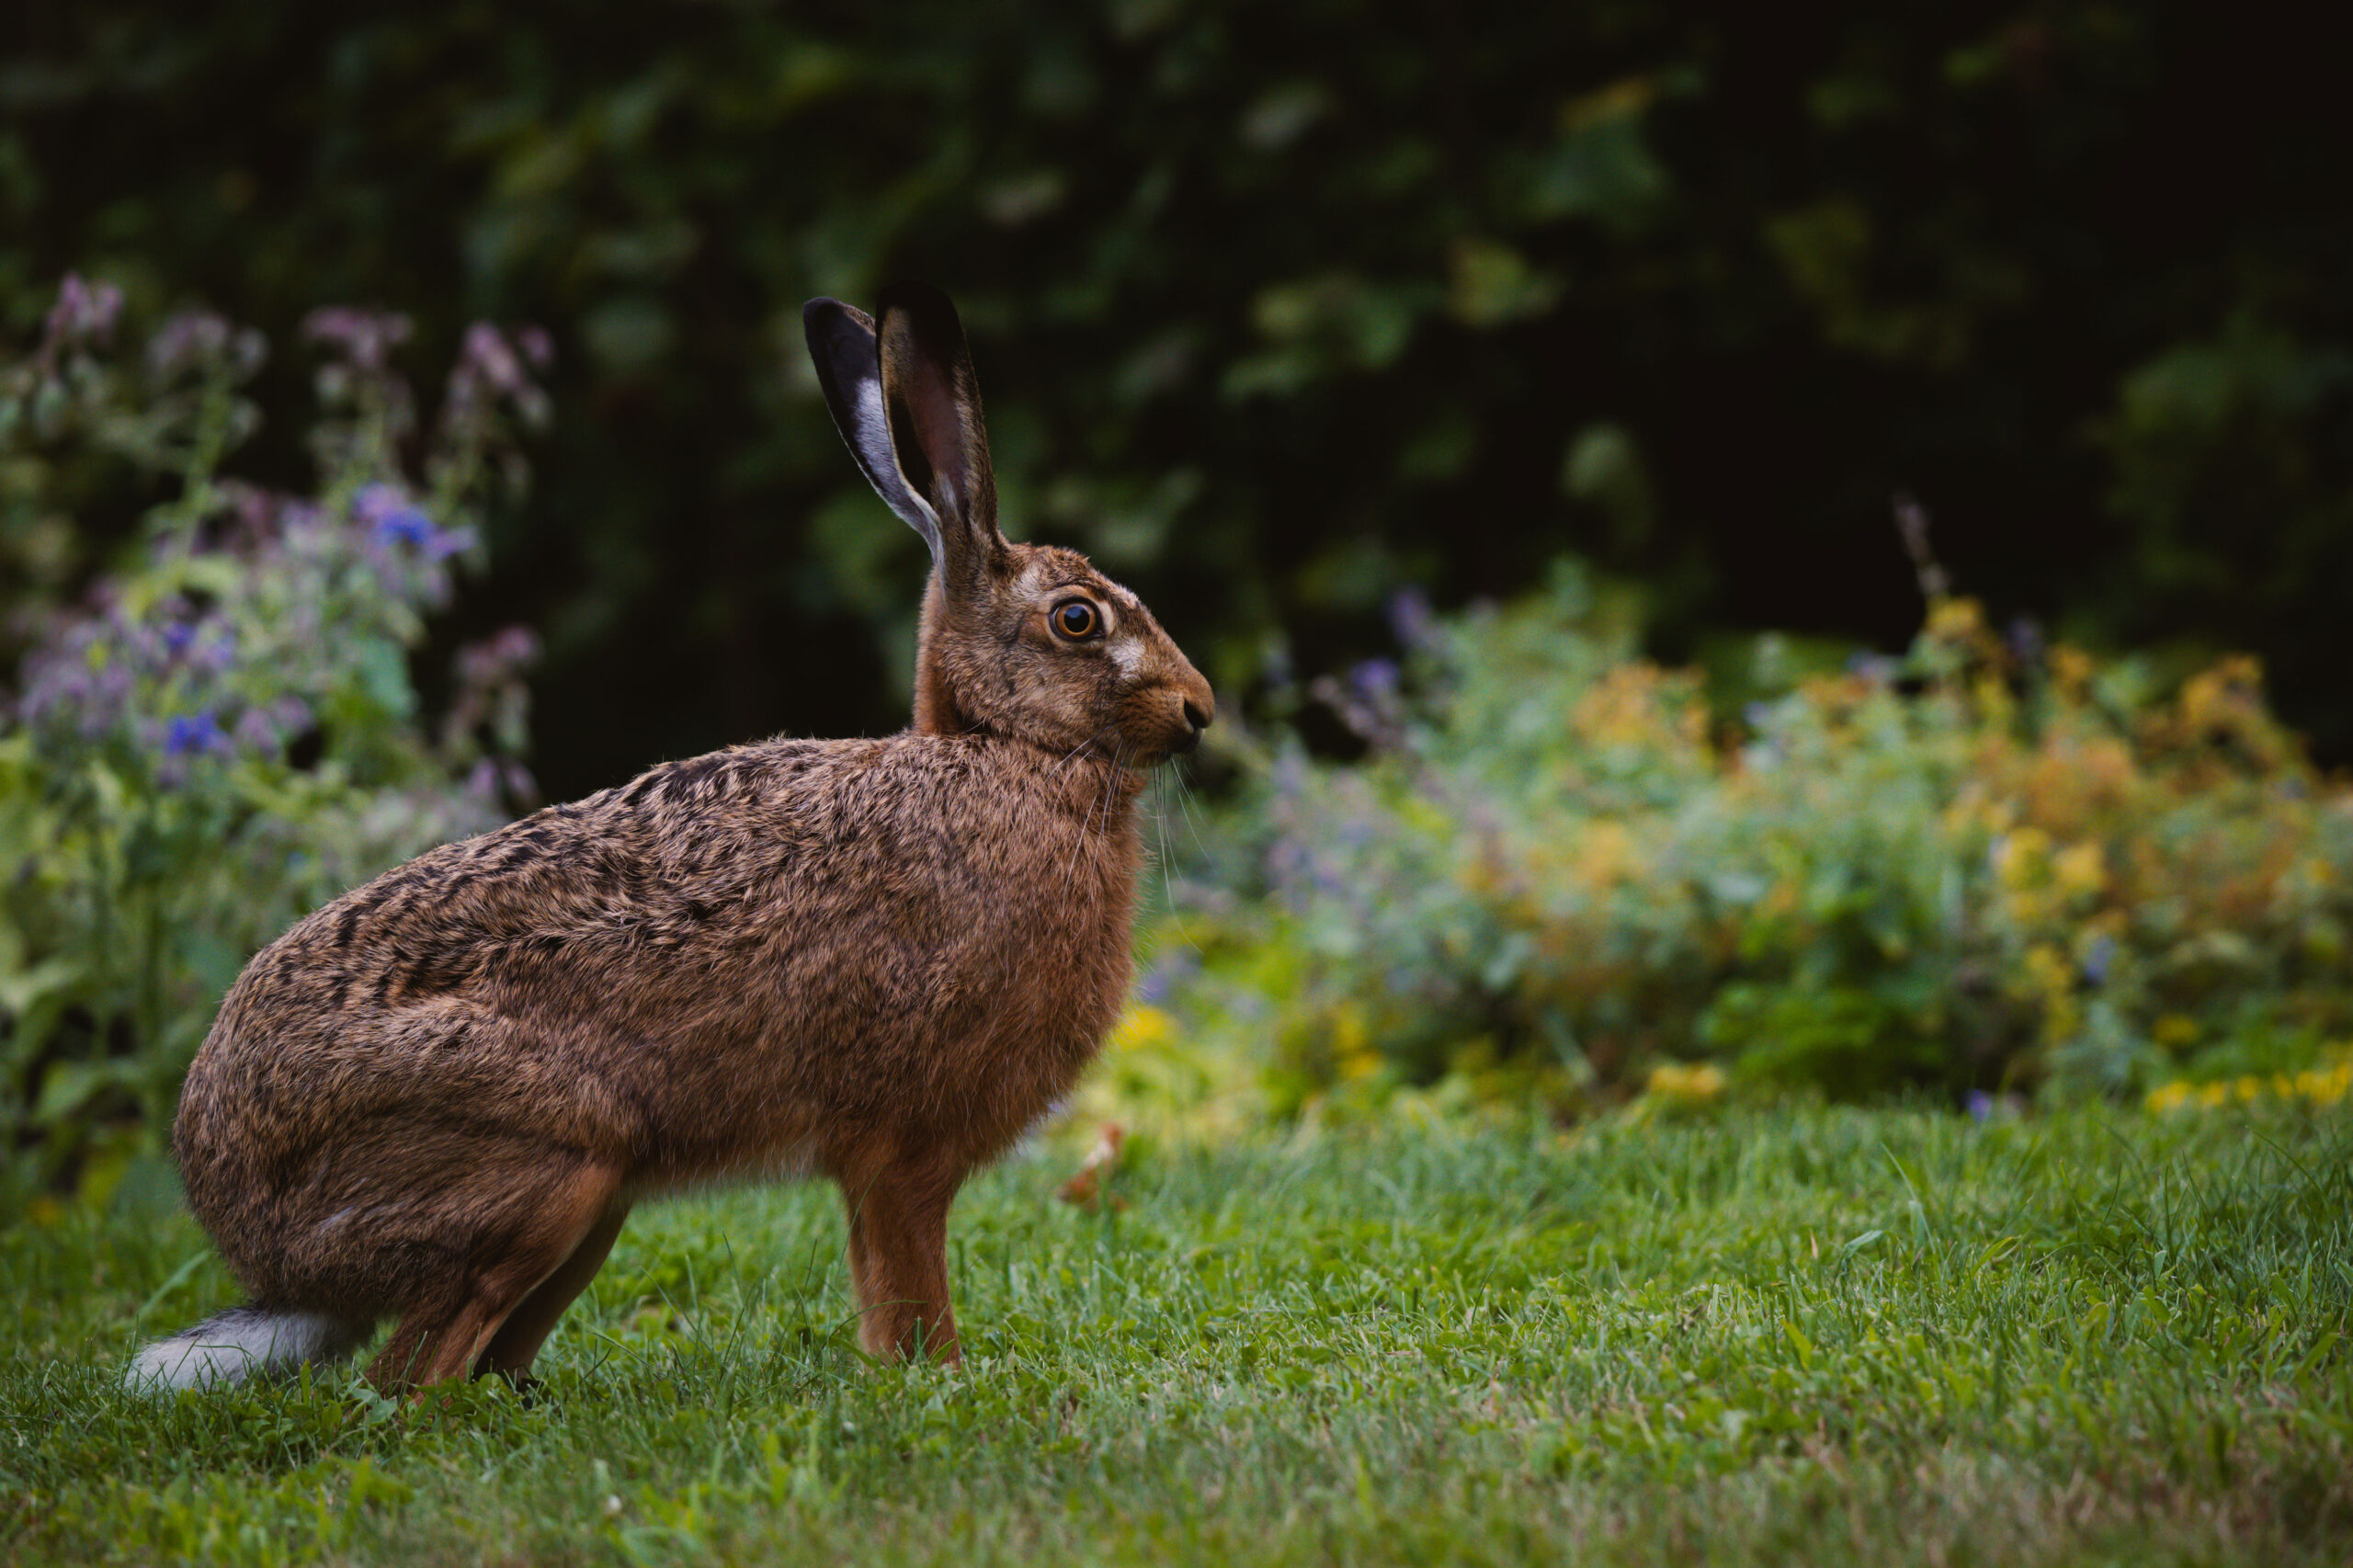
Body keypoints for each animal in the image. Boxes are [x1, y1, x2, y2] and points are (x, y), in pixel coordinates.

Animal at [128, 282, 1213, 1392]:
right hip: (546, 1165)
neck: (1005, 750)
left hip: (594, 1204)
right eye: (1077, 620)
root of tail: (257, 1238)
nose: (1199, 710)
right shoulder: (902, 1148)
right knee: (409, 1382)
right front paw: (938, 1382)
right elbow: (908, 1282)